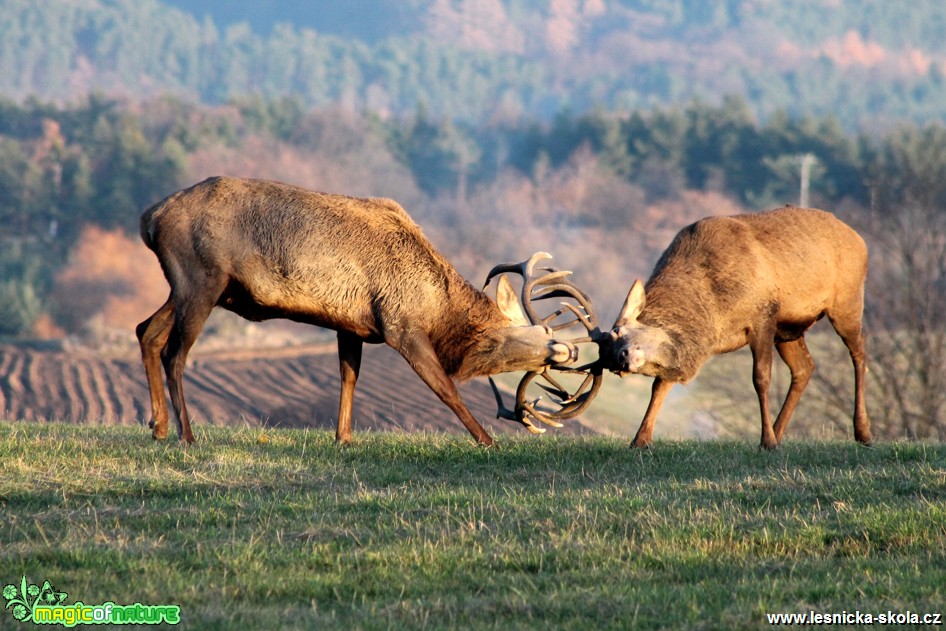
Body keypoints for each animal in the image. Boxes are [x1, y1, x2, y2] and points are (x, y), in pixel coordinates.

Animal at [136, 175, 588, 446]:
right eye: (544, 334)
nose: (571, 350)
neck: (438, 310)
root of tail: (150, 218)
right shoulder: (400, 326)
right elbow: (447, 390)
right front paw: (486, 440)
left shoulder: (351, 325)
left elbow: (348, 378)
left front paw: (344, 438)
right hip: (201, 280)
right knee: (175, 353)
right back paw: (186, 435)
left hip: (187, 287)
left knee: (146, 331)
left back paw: (158, 426)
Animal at [596, 206, 872, 450]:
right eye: (608, 359)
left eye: (619, 332)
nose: (622, 359)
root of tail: (859, 239)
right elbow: (660, 385)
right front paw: (640, 440)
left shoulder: (762, 316)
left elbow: (761, 378)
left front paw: (766, 442)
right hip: (788, 330)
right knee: (805, 368)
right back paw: (780, 431)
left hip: (847, 301)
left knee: (859, 353)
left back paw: (863, 432)